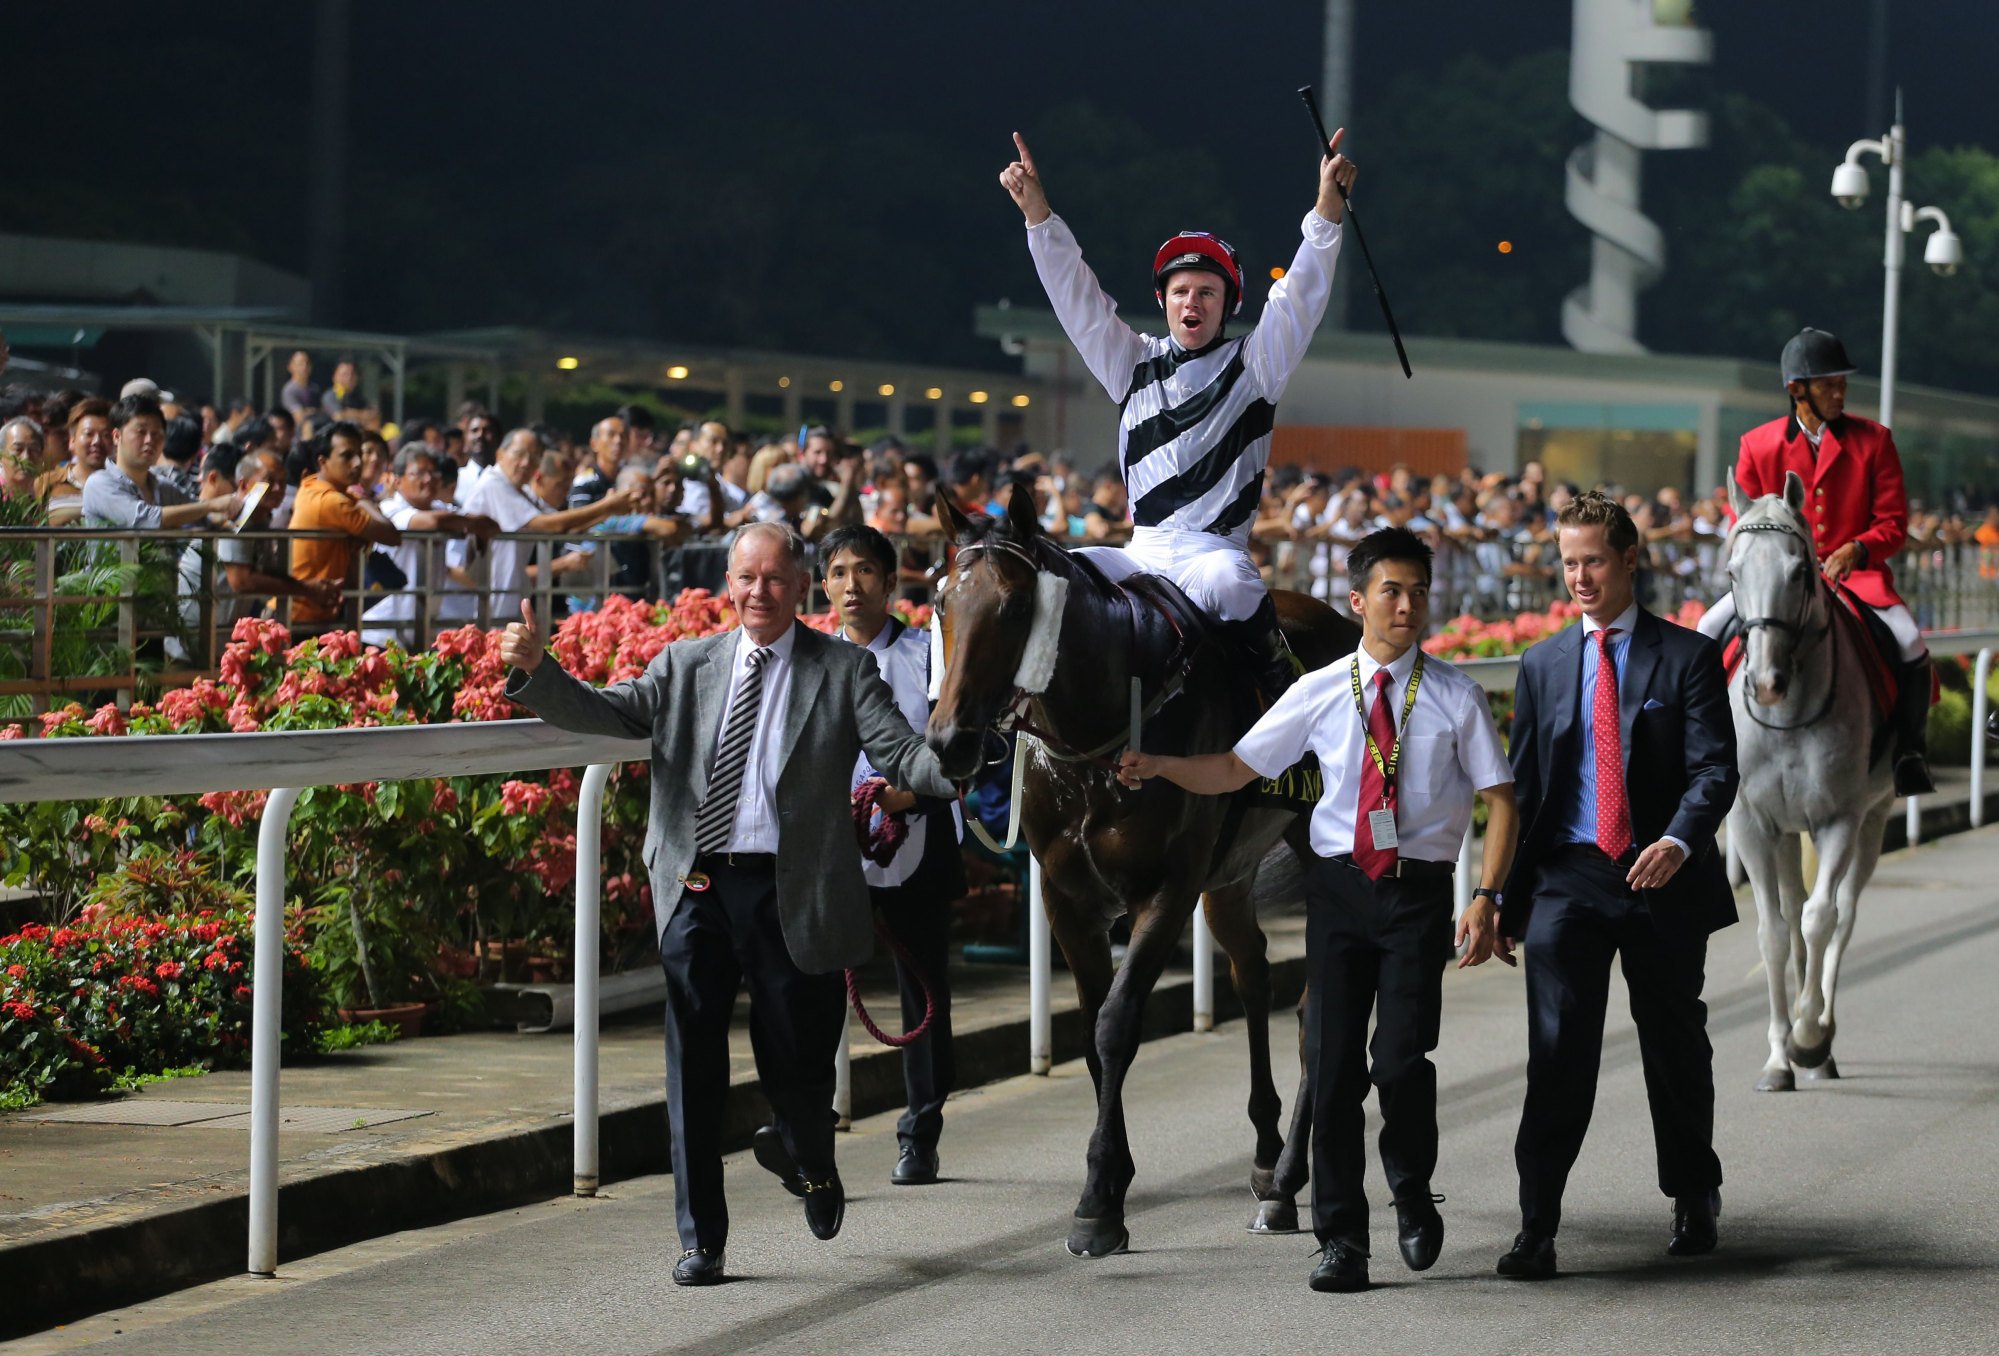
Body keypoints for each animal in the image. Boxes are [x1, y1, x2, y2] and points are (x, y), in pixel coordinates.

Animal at [927, 486, 1367, 1256]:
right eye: (942, 602)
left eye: (1014, 606)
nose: (949, 740)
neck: (1101, 740)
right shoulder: (1066, 896)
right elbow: (1091, 1034)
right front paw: (1111, 1183)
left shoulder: (1166, 891)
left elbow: (1116, 1024)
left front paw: (1099, 1200)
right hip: (1230, 877)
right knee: (1252, 975)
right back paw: (1266, 1155)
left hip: (1313, 851)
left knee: (1316, 1005)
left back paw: (1287, 1179)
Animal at [1719, 472, 1887, 1096]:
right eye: (1732, 572)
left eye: (1800, 572)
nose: (1765, 682)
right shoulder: (1751, 822)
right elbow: (1772, 933)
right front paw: (1777, 1056)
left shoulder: (1839, 819)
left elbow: (1821, 920)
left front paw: (1809, 1038)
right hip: (1787, 833)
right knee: (1792, 914)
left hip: (1872, 821)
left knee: (1842, 911)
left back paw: (1820, 1039)